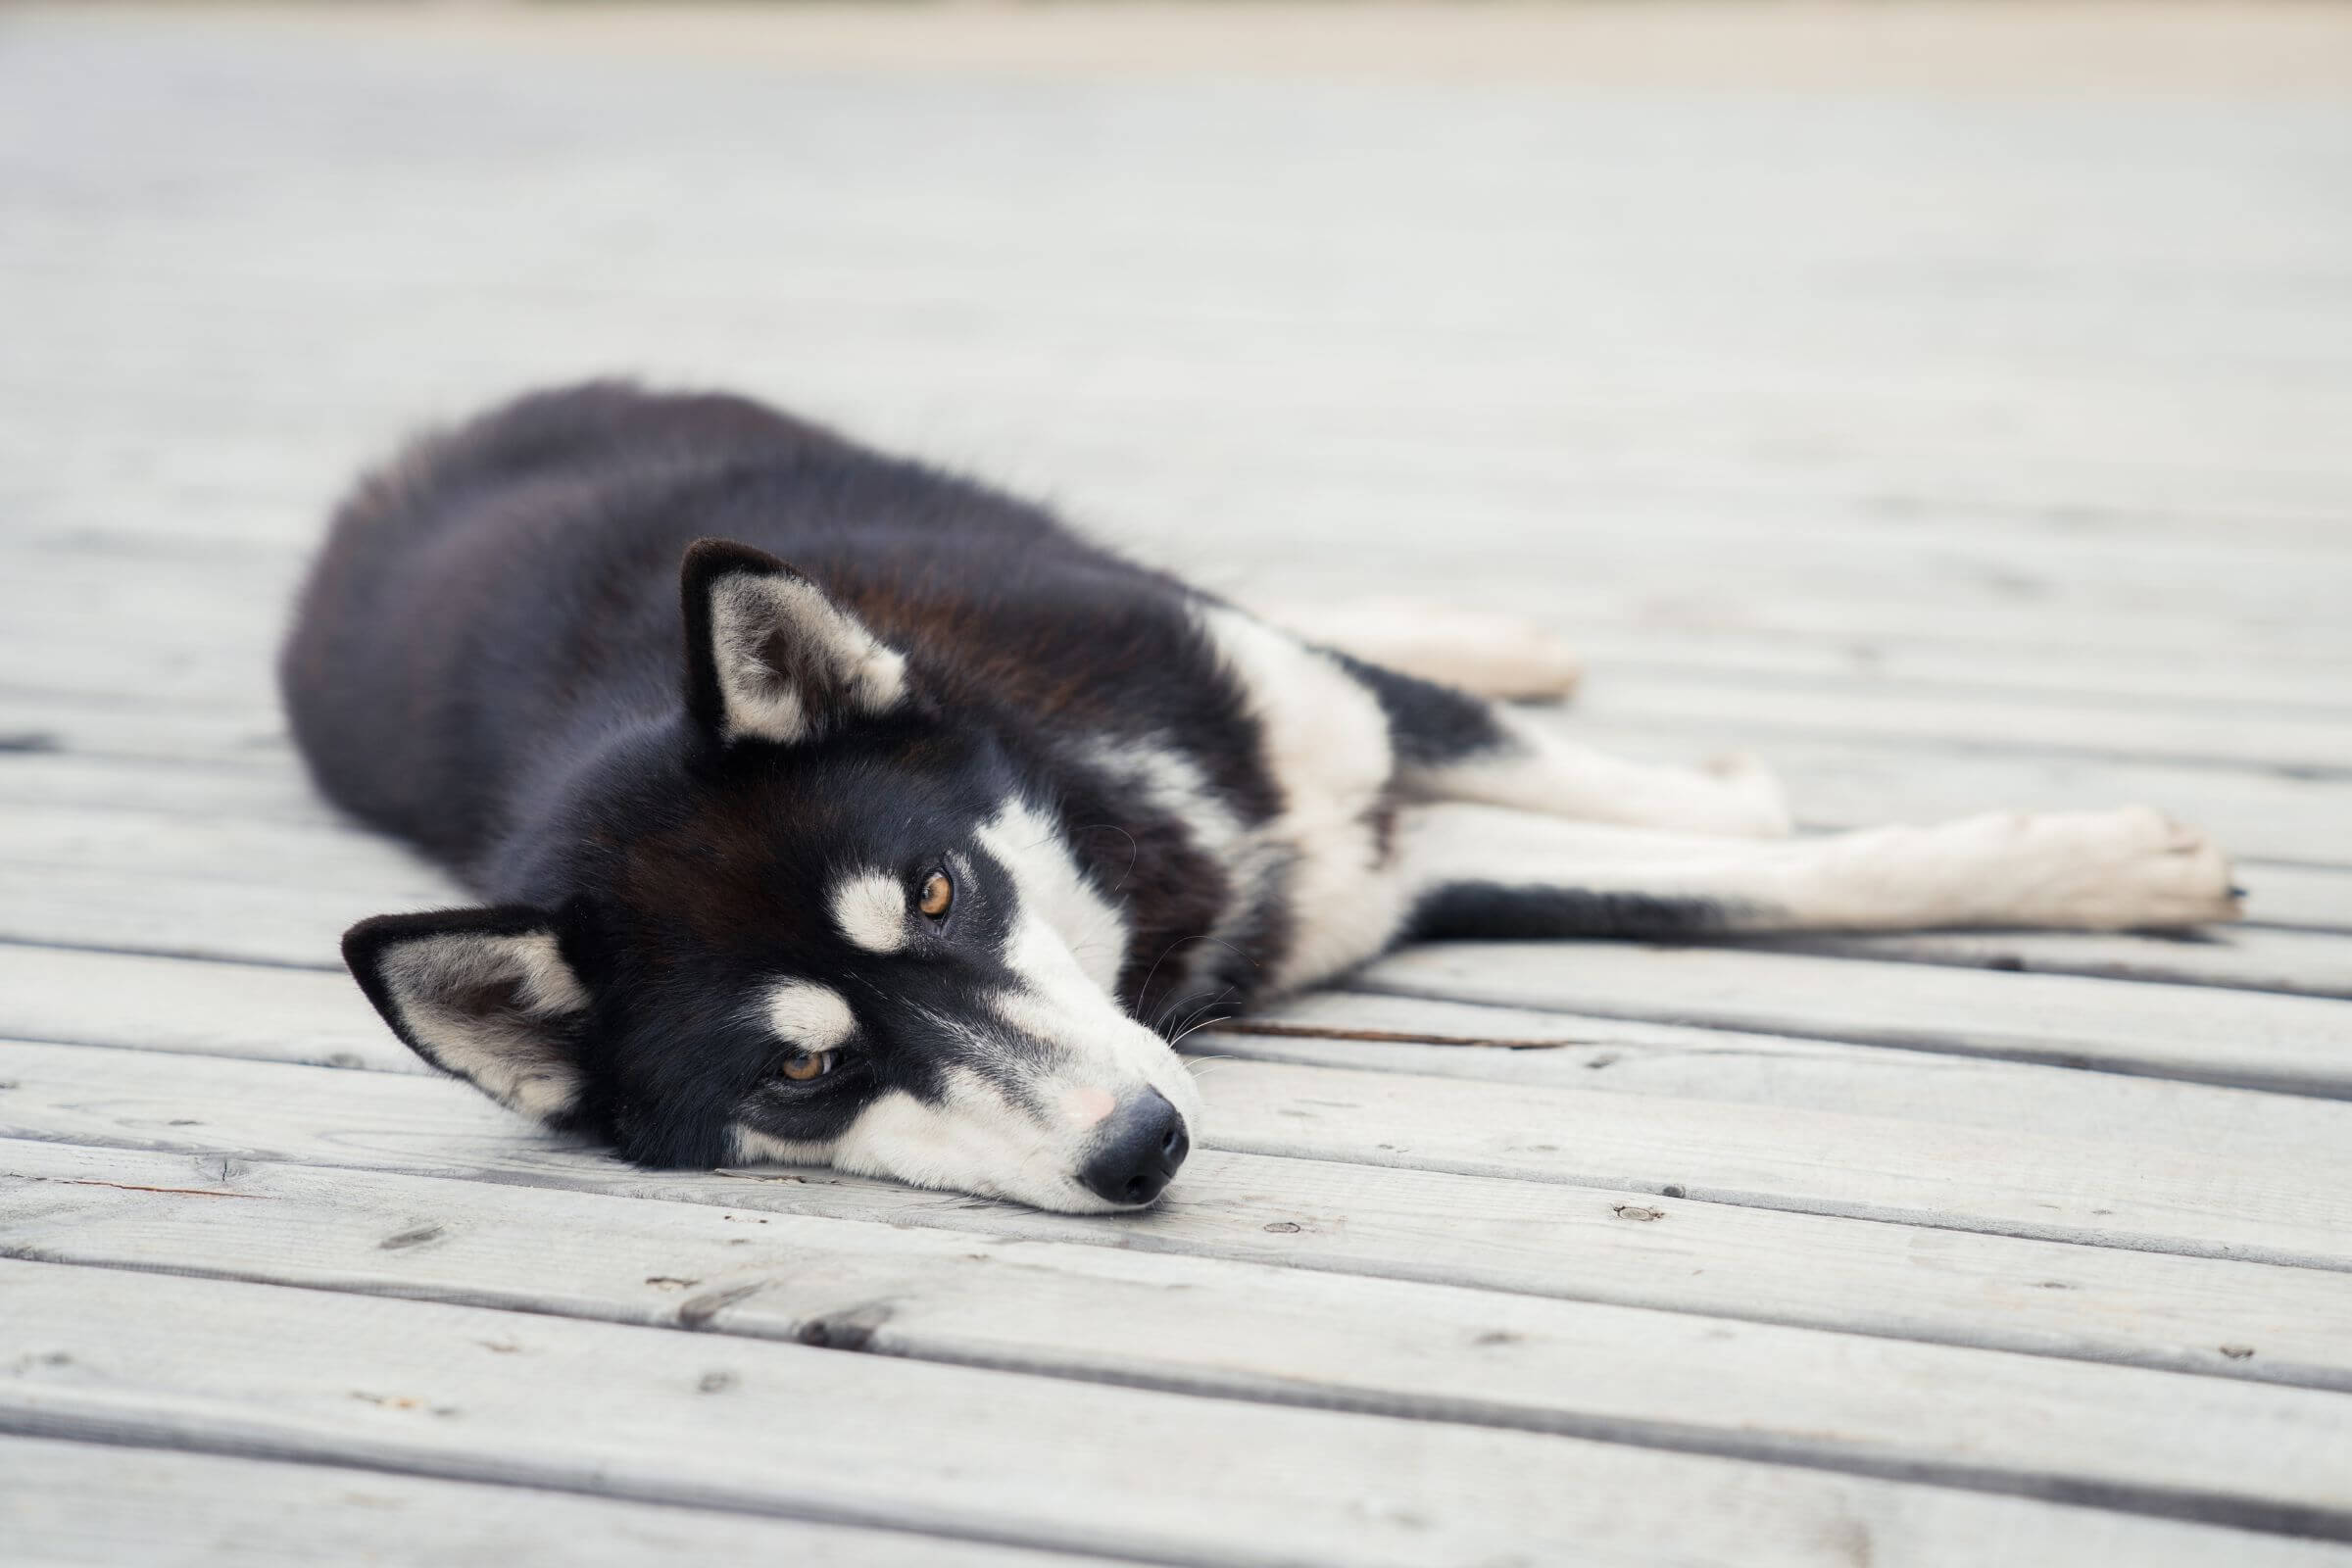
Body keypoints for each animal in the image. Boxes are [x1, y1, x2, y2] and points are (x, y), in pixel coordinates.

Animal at [279, 380, 2238, 1212]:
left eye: (939, 898)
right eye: (803, 1076)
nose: (1142, 1150)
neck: (1134, 853)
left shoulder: (1321, 734)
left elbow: (1742, 841)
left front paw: (2098, 862)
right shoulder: (1389, 880)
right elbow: (1723, 872)